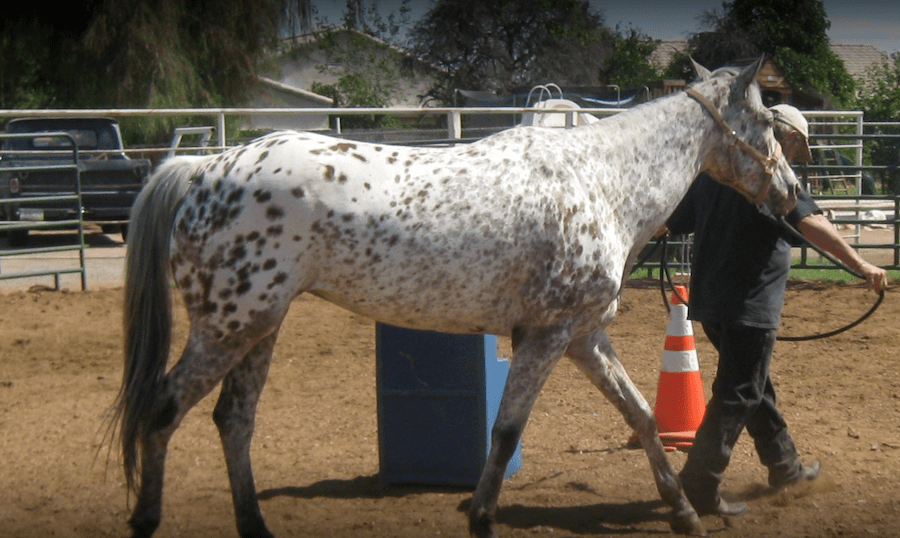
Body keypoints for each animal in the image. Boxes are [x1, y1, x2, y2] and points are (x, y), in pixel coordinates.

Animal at [112, 58, 800, 538]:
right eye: (768, 121)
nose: (792, 191)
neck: (602, 180)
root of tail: (205, 169)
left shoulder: (584, 336)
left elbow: (642, 416)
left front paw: (685, 511)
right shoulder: (546, 337)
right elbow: (506, 430)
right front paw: (481, 516)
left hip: (261, 327)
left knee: (234, 421)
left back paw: (255, 525)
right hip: (227, 327)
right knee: (162, 411)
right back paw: (146, 518)